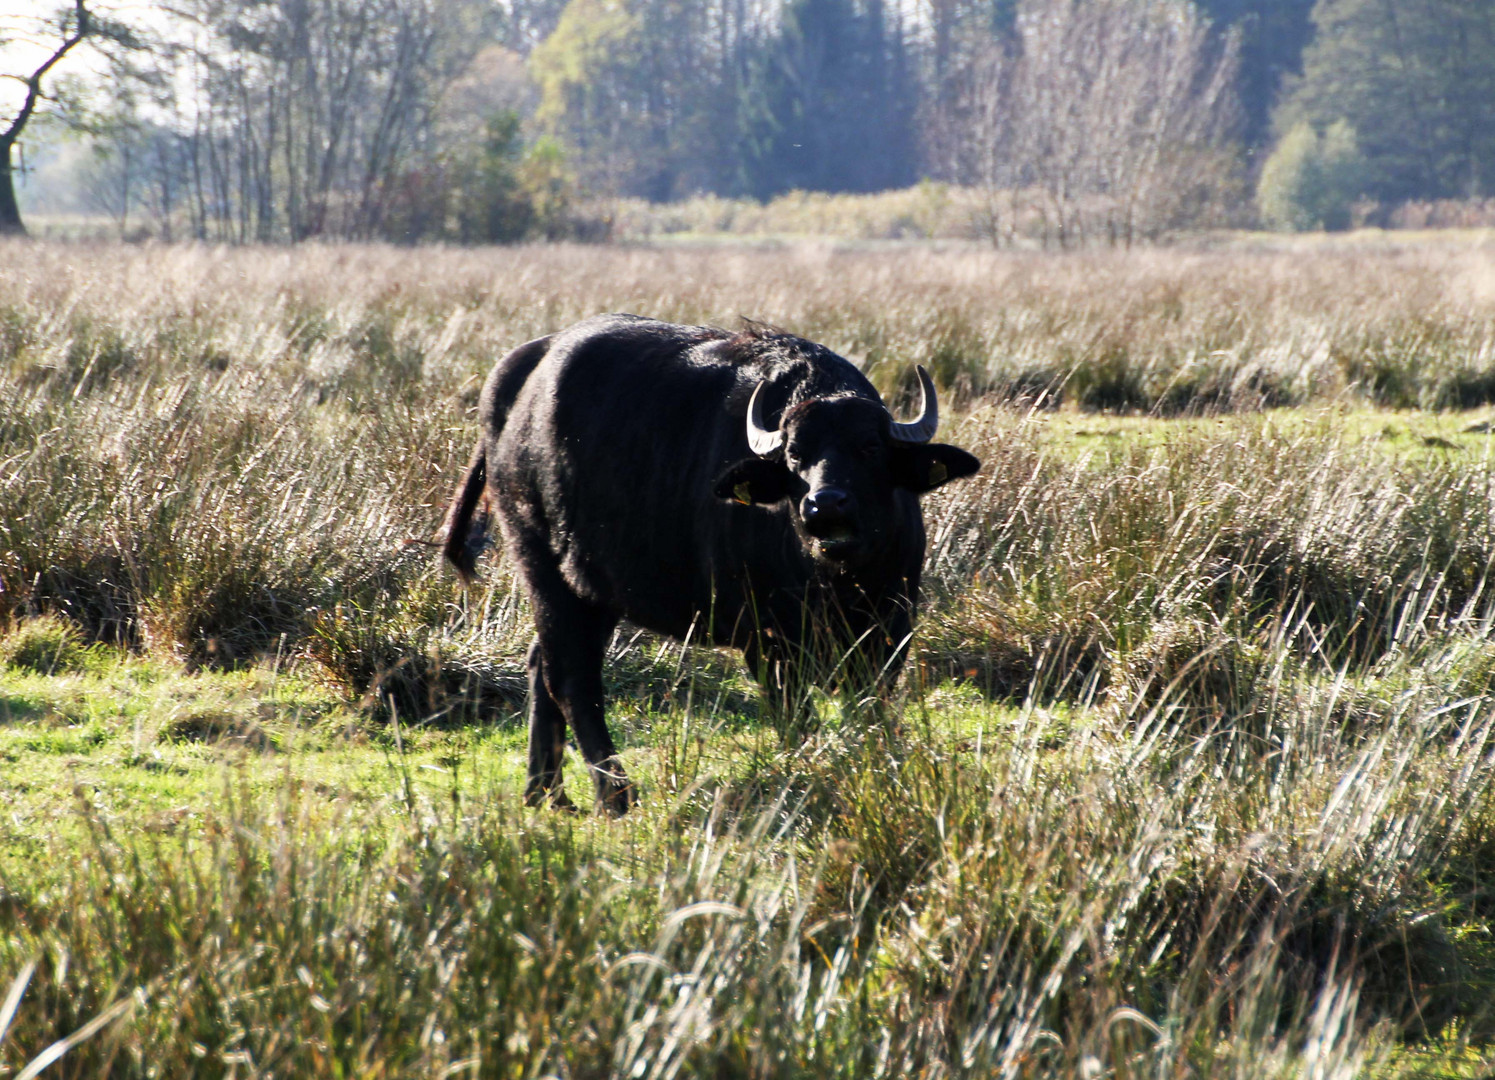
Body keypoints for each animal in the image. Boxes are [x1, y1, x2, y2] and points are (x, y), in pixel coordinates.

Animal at [439, 315, 980, 813]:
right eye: (795, 455)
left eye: (869, 448)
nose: (825, 505)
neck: (835, 582)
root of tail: (517, 379)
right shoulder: (768, 644)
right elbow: (797, 719)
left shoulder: (891, 631)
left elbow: (871, 714)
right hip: (542, 566)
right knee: (571, 677)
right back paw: (615, 796)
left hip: (592, 590)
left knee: (541, 662)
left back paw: (547, 793)